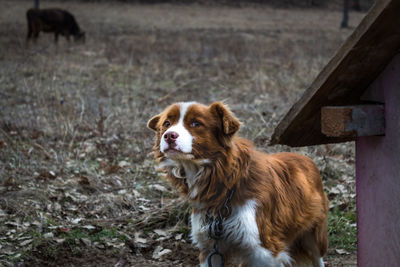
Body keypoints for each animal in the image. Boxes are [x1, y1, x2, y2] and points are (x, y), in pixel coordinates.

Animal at [147, 101, 328, 266]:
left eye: (196, 123)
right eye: (167, 123)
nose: (169, 136)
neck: (226, 184)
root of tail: (305, 157)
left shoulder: (264, 250)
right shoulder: (209, 247)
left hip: (315, 234)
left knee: (317, 256)